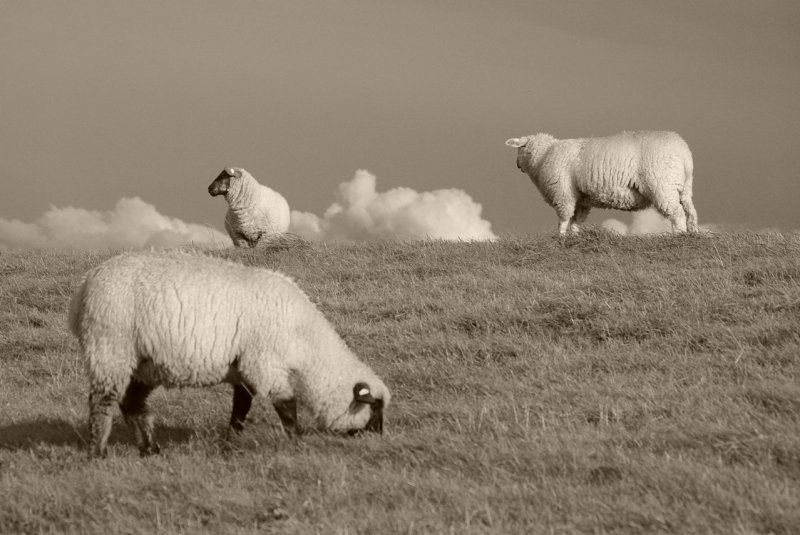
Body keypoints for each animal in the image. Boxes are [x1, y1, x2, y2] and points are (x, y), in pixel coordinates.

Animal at [68, 251, 390, 456]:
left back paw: (150, 449)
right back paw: (98, 453)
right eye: (374, 408)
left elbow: (240, 410)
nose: (378, 440)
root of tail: (84, 286)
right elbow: (286, 406)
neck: (304, 342)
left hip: (144, 362)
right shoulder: (265, 363)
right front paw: (297, 442)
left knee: (132, 404)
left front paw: (230, 443)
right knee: (102, 402)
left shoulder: (243, 369)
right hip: (110, 347)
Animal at [506, 131, 700, 233]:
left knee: (677, 214)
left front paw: (560, 239)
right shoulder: (581, 199)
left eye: (520, 149)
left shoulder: (563, 194)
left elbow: (564, 219)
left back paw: (677, 236)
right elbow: (576, 221)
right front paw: (573, 238)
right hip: (684, 187)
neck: (544, 156)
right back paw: (692, 233)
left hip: (662, 185)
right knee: (690, 212)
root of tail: (683, 151)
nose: (516, 165)